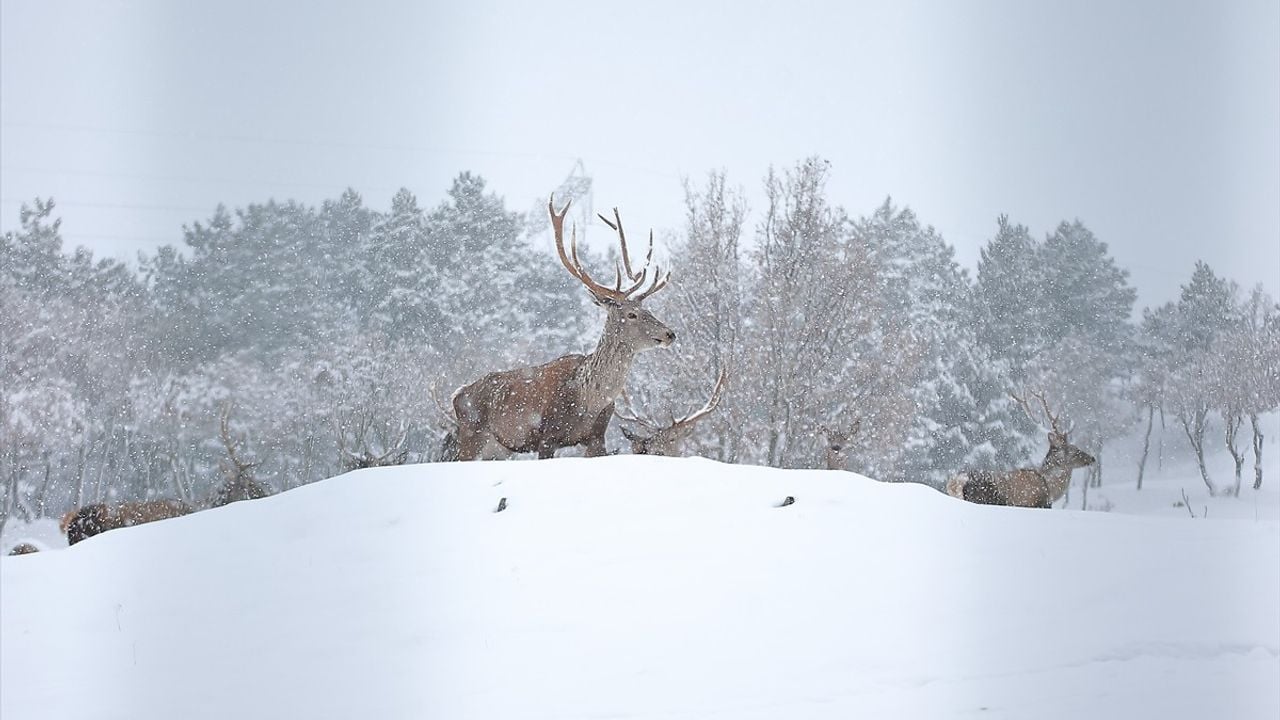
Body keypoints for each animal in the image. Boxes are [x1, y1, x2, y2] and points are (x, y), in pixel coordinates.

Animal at [450, 196, 675, 456]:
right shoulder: (547, 436)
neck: (588, 400)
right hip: (471, 437)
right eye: (631, 314)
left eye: (649, 310)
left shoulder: (597, 436)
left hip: (499, 449)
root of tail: (457, 395)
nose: (670, 333)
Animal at [947, 389, 1095, 507]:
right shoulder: (1038, 504)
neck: (1050, 488)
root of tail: (955, 483)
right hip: (980, 498)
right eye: (1073, 449)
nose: (1092, 458)